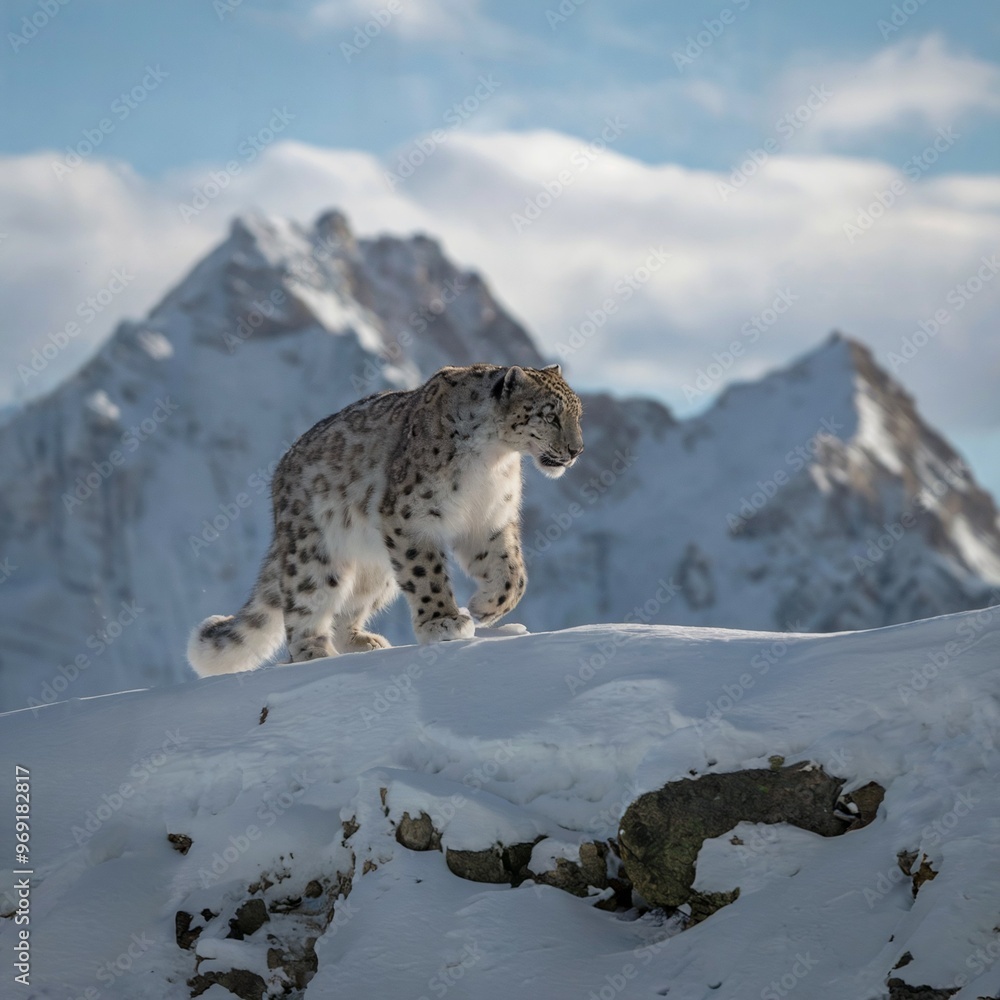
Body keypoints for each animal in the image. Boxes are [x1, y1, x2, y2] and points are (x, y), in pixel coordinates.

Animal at [187, 363, 583, 676]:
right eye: (550, 414)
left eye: (578, 414)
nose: (577, 450)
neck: (494, 458)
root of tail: (280, 474)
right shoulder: (411, 516)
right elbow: (427, 575)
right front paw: (444, 622)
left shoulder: (489, 519)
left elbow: (512, 571)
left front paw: (485, 607)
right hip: (314, 553)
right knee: (304, 602)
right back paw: (314, 652)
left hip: (377, 568)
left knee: (349, 606)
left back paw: (363, 641)